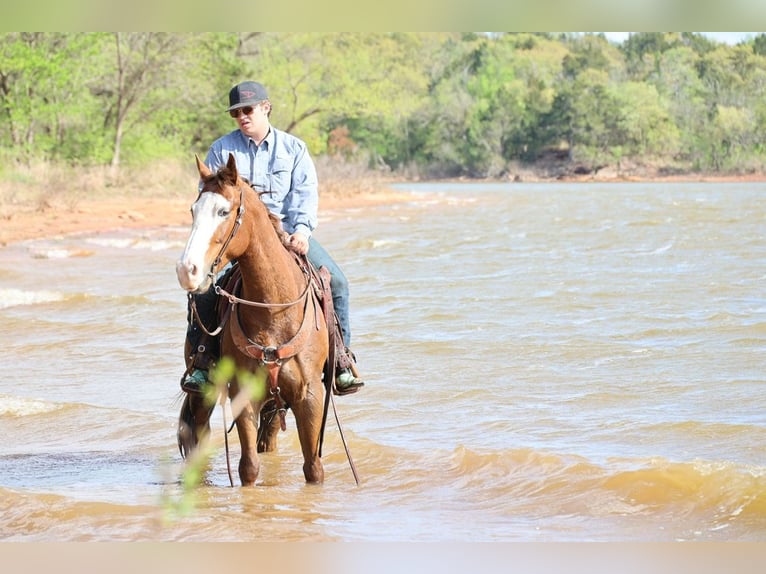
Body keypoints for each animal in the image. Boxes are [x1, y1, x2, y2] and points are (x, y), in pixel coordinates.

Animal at [175, 154, 330, 485]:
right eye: (193, 210)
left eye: (223, 211)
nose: (186, 270)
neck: (273, 311)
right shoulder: (242, 394)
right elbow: (248, 468)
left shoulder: (310, 395)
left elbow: (313, 468)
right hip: (202, 391)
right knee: (197, 434)